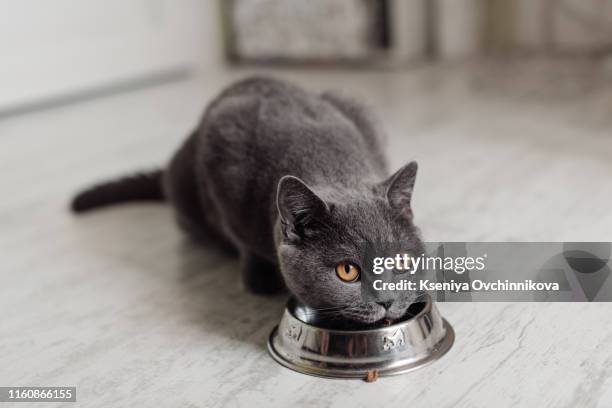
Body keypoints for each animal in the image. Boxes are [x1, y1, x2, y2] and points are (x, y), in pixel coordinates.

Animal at [71, 75, 424, 326]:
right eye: (347, 271)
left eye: (400, 262)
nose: (387, 301)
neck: (328, 161)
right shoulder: (223, 151)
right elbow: (241, 239)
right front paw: (259, 278)